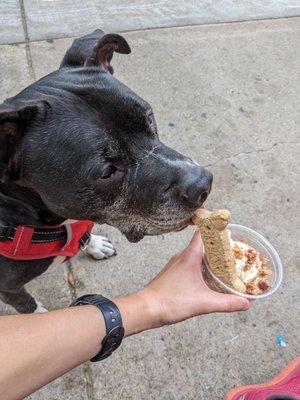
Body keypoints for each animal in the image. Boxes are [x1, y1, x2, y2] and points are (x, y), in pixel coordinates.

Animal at [0, 29, 212, 314]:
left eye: (149, 118)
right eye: (107, 171)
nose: (203, 184)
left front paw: (94, 243)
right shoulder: (9, 289)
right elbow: (26, 304)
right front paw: (37, 315)